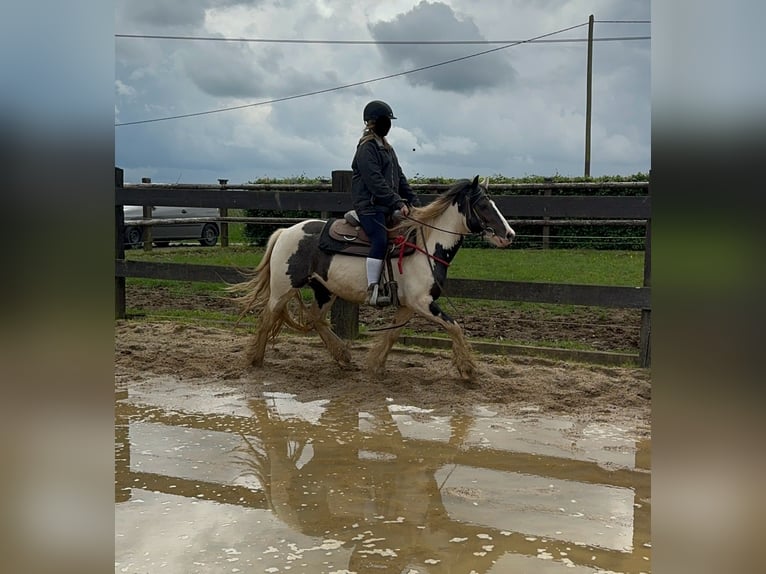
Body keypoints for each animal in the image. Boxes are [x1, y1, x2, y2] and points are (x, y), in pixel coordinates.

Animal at [230, 178, 516, 380]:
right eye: (483, 205)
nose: (510, 235)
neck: (425, 245)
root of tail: (285, 231)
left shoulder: (408, 305)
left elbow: (392, 334)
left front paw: (376, 364)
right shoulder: (422, 303)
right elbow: (454, 327)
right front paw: (467, 369)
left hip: (324, 289)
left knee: (315, 318)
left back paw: (343, 356)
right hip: (283, 288)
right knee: (267, 319)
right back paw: (255, 360)